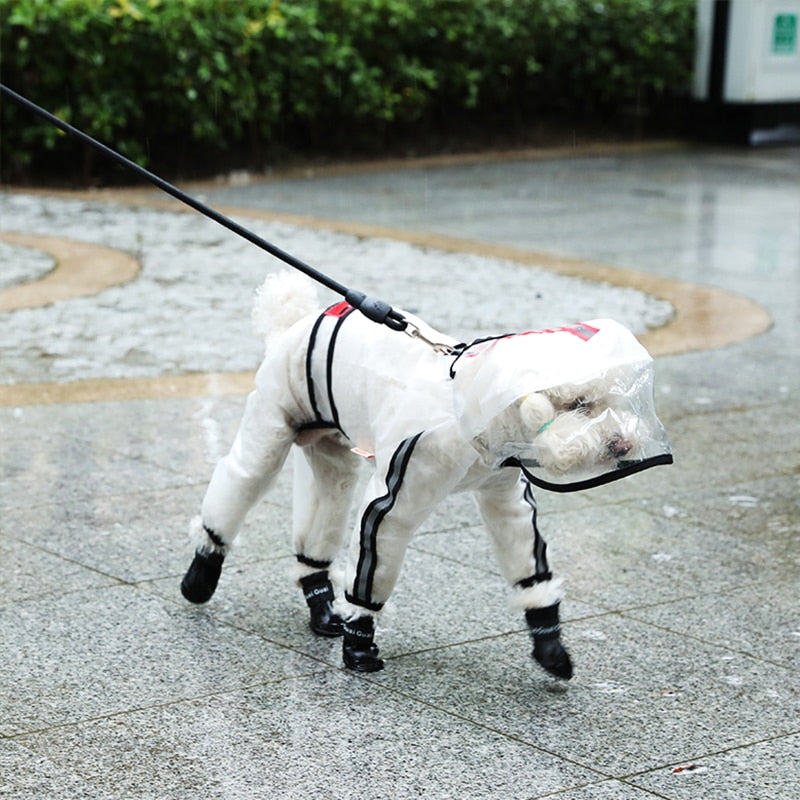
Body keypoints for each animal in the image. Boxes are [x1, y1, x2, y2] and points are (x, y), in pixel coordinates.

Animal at [180, 274, 668, 676]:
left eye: (619, 401)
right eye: (580, 404)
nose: (623, 445)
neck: (477, 407)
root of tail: (294, 324)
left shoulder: (503, 493)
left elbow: (526, 558)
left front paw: (549, 642)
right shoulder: (398, 493)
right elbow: (376, 555)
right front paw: (360, 644)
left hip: (333, 454)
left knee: (325, 510)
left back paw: (321, 606)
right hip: (271, 428)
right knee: (239, 484)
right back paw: (201, 573)